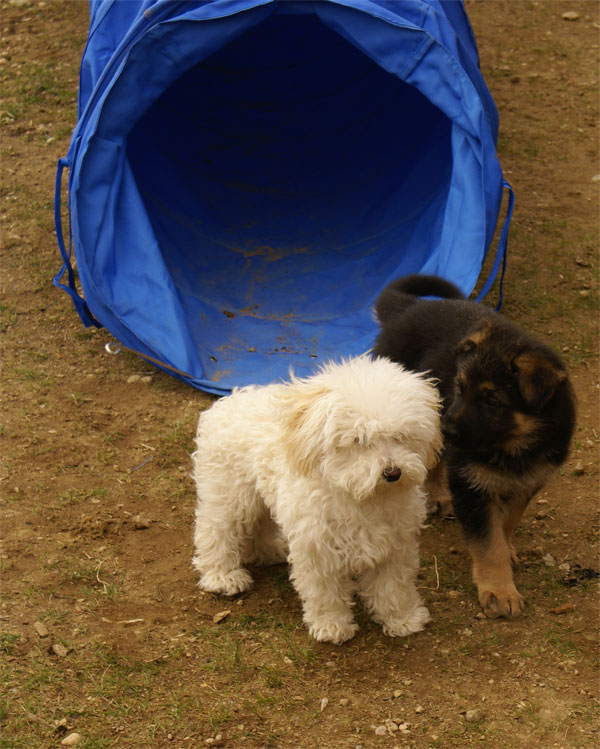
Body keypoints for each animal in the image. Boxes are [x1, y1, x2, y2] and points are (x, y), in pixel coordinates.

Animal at [192, 356, 440, 644]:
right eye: (359, 440)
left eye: (400, 436)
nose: (393, 473)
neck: (361, 498)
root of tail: (232, 399)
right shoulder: (318, 550)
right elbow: (325, 592)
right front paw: (332, 625)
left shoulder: (394, 548)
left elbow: (394, 587)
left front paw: (403, 619)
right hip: (230, 496)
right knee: (215, 531)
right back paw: (222, 576)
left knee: (260, 526)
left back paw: (270, 551)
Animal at [372, 274, 576, 620]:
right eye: (461, 388)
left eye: (492, 401)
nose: (447, 429)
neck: (515, 445)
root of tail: (407, 308)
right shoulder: (471, 484)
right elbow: (487, 542)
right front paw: (499, 591)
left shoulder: (527, 482)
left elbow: (506, 523)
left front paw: (507, 550)